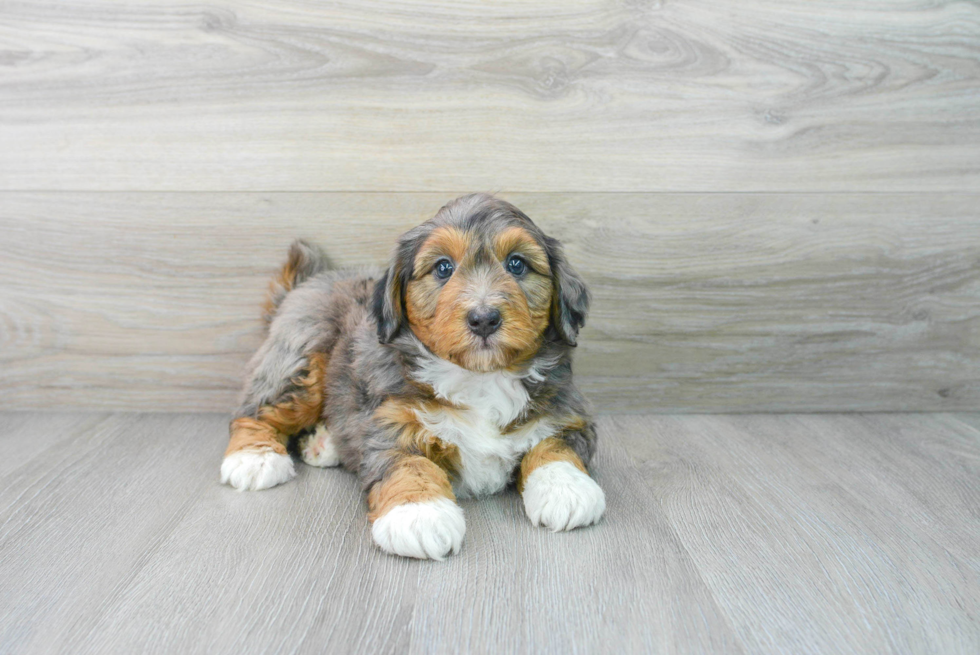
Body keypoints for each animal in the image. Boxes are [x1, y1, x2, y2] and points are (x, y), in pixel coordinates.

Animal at [222, 192, 604, 560]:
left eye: (517, 264)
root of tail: (307, 283)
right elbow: (410, 465)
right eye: (443, 268)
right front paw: (419, 514)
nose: (484, 318)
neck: (479, 378)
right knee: (255, 409)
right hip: (302, 358)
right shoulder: (389, 420)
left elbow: (554, 445)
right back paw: (255, 457)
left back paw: (323, 443)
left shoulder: (566, 412)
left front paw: (568, 489)